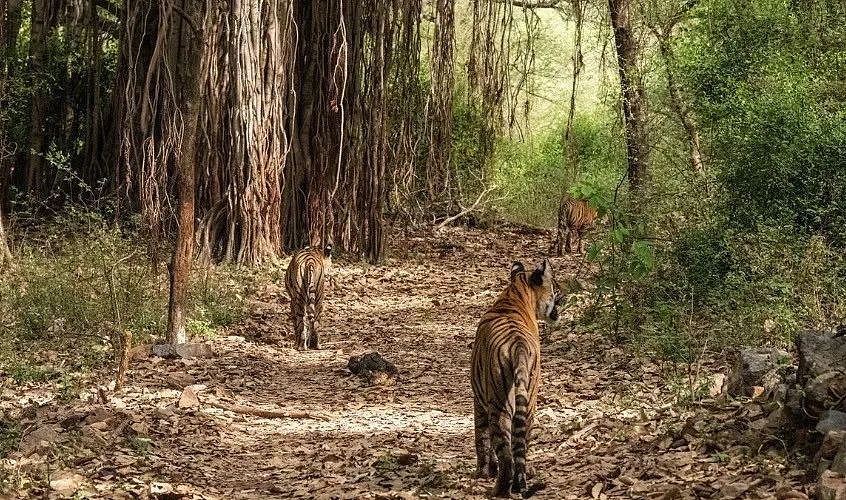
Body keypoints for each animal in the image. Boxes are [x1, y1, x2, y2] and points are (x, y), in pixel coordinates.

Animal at [471, 259, 562, 497]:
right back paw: (519, 483)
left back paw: (499, 489)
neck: (516, 292)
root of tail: (518, 347)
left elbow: (481, 437)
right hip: (529, 403)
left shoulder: (478, 399)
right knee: (520, 444)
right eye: (555, 287)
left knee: (505, 453)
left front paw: (483, 471)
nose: (564, 295)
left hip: (498, 403)